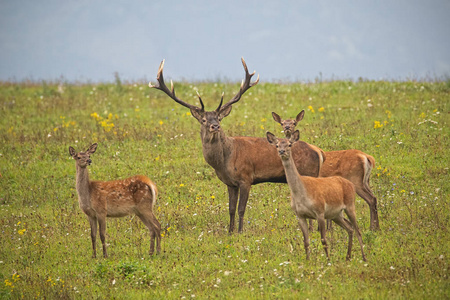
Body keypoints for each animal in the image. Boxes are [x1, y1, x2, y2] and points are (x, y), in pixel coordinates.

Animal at [149, 57, 326, 233]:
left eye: (219, 118)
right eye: (204, 120)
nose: (215, 126)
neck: (224, 161)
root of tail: (318, 152)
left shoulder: (245, 178)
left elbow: (241, 208)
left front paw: (240, 231)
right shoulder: (230, 183)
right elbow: (231, 209)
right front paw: (230, 231)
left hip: (308, 172)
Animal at [268, 130, 366, 262]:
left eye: (289, 144)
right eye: (277, 145)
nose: (282, 151)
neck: (301, 194)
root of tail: (350, 184)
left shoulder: (319, 211)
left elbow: (323, 240)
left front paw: (328, 260)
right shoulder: (300, 215)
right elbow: (306, 241)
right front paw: (308, 260)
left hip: (350, 205)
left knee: (357, 230)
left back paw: (364, 257)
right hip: (336, 214)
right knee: (349, 228)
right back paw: (348, 257)